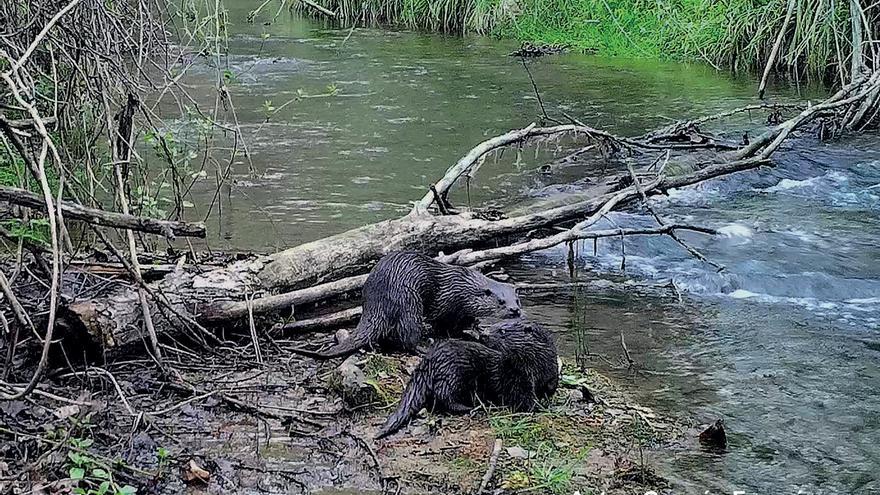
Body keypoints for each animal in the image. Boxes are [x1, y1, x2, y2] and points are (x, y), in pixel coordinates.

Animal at [288, 252, 524, 360]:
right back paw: (423, 347)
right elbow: (444, 324)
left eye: (517, 300)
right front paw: (462, 334)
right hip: (409, 302)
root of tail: (375, 302)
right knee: (407, 337)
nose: (515, 310)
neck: (463, 288)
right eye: (500, 301)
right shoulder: (446, 304)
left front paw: (476, 327)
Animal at [372, 320, 556, 440]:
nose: (483, 334)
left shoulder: (551, 374)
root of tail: (428, 360)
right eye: (494, 326)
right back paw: (468, 408)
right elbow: (522, 399)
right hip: (451, 374)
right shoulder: (514, 379)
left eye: (502, 331)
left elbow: (550, 389)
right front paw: (538, 408)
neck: (536, 371)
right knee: (444, 397)